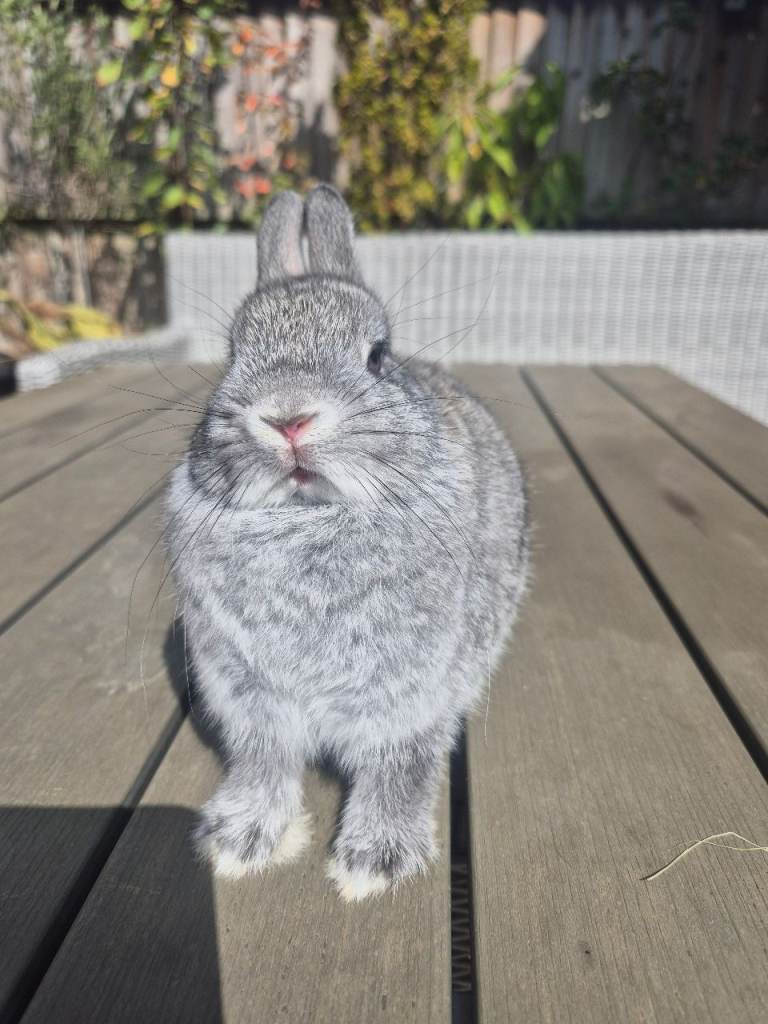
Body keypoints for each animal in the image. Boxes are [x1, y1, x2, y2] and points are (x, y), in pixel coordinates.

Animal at [166, 185, 529, 901]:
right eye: (233, 355)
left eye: (377, 355)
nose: (288, 417)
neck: (309, 518)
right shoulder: (250, 698)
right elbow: (265, 763)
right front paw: (240, 841)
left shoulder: (409, 695)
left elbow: (399, 766)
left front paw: (373, 863)